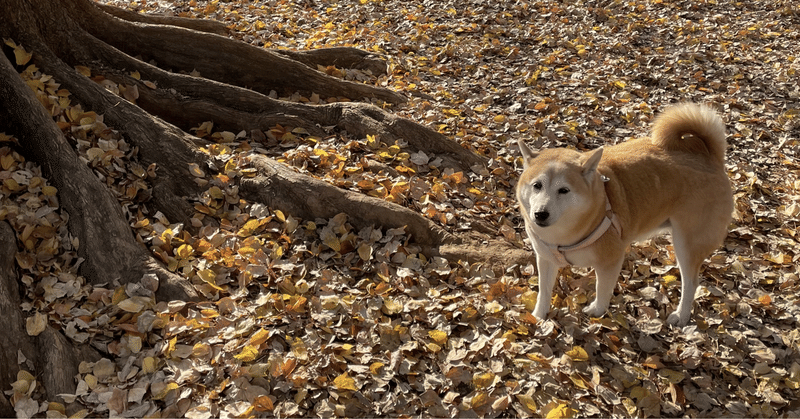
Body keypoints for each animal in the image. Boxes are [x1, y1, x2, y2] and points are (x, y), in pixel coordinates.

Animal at [520, 103, 732, 326]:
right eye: (537, 185)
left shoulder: (610, 261)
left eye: (564, 190)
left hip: (686, 244)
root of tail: (709, 156)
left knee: (690, 282)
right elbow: (544, 291)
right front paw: (538, 316)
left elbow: (602, 290)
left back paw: (681, 314)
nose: (540, 214)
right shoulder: (546, 258)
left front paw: (597, 310)